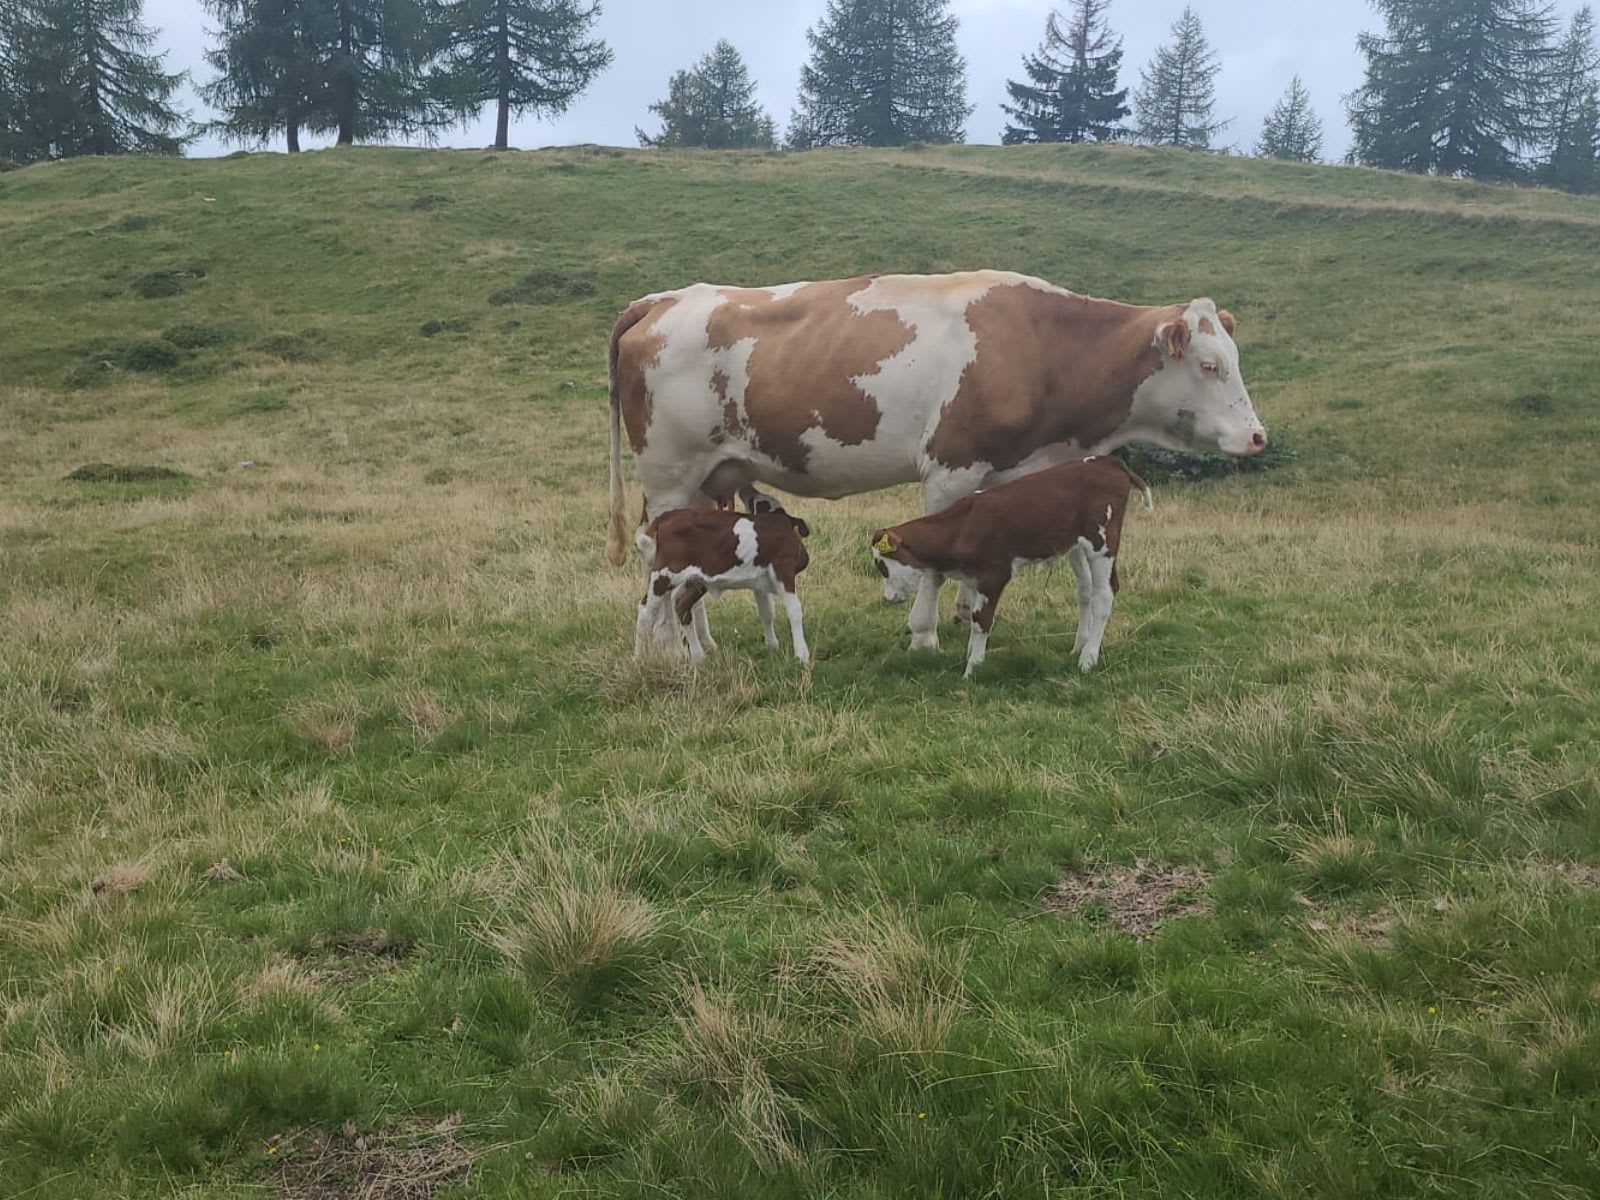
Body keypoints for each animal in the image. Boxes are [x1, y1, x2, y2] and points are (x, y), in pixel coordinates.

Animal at [634, 508, 812, 663]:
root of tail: (667, 515)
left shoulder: (760, 582)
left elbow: (767, 612)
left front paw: (773, 647)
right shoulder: (783, 568)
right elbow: (794, 610)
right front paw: (801, 656)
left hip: (695, 579)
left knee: (682, 605)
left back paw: (698, 658)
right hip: (663, 574)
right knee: (646, 612)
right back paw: (638, 659)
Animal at [870, 456, 1152, 677]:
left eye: (882, 565)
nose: (888, 597)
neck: (963, 526)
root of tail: (1109, 461)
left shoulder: (994, 575)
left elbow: (981, 620)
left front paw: (973, 668)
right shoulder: (975, 578)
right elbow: (973, 618)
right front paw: (972, 655)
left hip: (1102, 543)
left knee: (1104, 594)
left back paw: (1088, 659)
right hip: (1078, 546)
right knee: (1087, 591)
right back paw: (1078, 647)